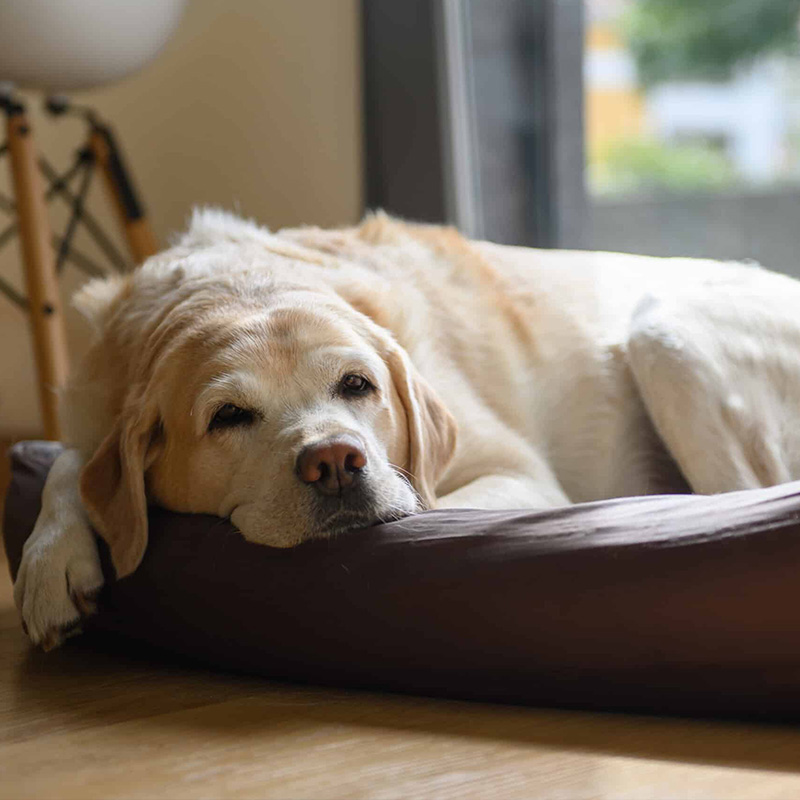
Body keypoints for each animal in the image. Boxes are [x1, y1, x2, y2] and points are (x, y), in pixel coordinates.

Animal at [12, 208, 800, 648]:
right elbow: (69, 466)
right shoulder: (92, 410)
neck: (240, 282)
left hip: (666, 336)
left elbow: (429, 504)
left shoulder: (515, 470)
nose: (334, 460)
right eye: (228, 417)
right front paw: (51, 563)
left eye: (357, 385)